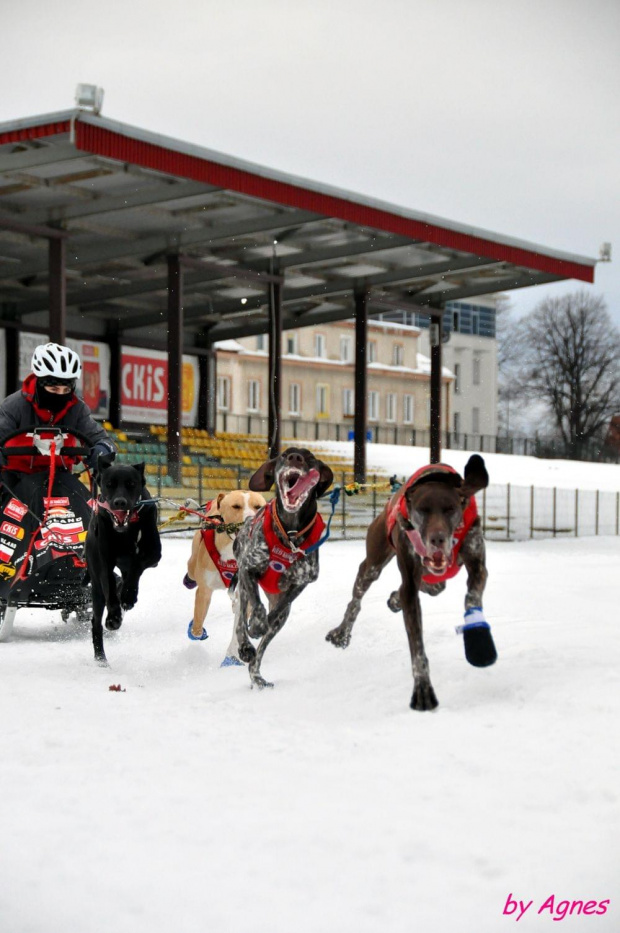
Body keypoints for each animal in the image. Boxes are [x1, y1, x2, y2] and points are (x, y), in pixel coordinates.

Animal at [85, 454, 162, 664]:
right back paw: (100, 659)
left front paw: (128, 595)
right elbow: (110, 586)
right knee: (96, 620)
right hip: (95, 585)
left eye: (131, 484)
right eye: (109, 484)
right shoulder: (103, 562)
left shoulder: (153, 554)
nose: (119, 502)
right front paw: (113, 617)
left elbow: (137, 565)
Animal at [182, 488, 264, 664]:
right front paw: (195, 629)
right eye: (236, 506)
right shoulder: (205, 590)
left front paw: (233, 655)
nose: (251, 519)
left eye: (258, 506)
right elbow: (198, 624)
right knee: (191, 571)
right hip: (193, 562)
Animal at [232, 448, 332, 688]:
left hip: (282, 619)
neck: (290, 534)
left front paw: (261, 625)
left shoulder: (301, 582)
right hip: (243, 588)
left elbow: (275, 611)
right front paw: (256, 624)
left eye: (310, 457)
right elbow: (257, 609)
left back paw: (257, 677)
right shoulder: (248, 569)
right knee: (240, 623)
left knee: (260, 650)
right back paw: (245, 647)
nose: (295, 457)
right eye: (285, 454)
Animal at [326, 456, 496, 708]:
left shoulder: (477, 566)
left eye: (450, 509)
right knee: (356, 599)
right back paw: (342, 632)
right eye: (422, 510)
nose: (437, 539)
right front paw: (422, 687)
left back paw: (395, 599)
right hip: (373, 564)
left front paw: (478, 638)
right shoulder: (410, 582)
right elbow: (416, 645)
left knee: (435, 586)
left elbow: (471, 597)